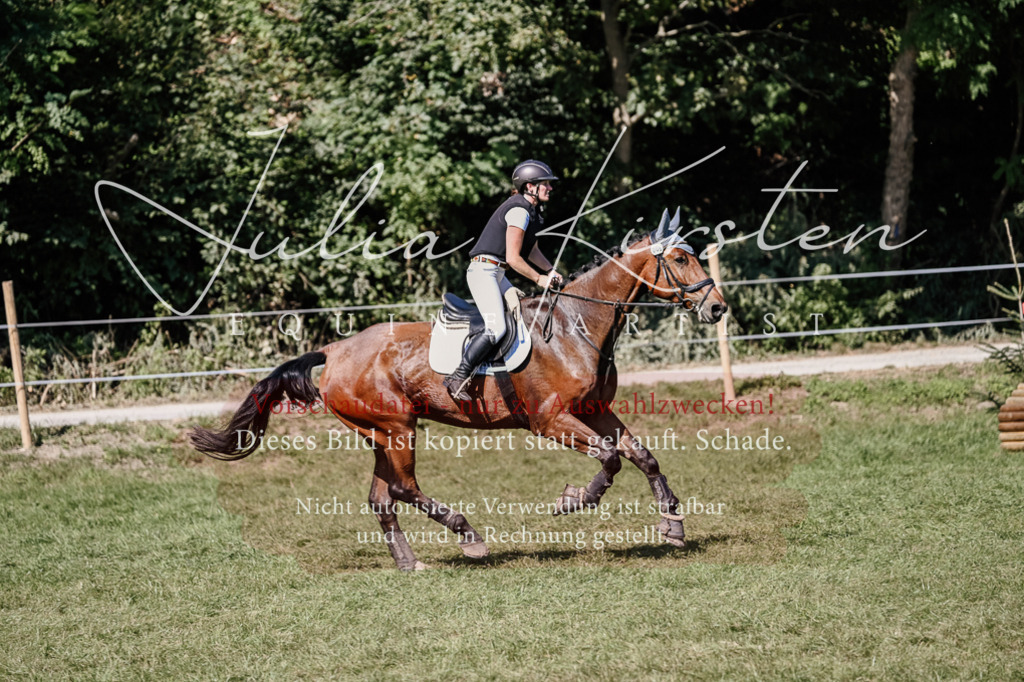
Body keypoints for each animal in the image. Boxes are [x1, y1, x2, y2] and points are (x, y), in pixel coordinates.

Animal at [190, 211, 728, 570]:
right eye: (680, 258)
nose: (718, 308)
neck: (576, 326)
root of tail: (335, 349)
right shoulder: (550, 420)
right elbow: (611, 459)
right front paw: (573, 500)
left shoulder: (594, 410)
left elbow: (642, 456)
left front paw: (673, 525)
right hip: (397, 426)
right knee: (403, 489)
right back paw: (468, 535)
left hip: (379, 432)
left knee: (383, 498)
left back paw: (409, 562)